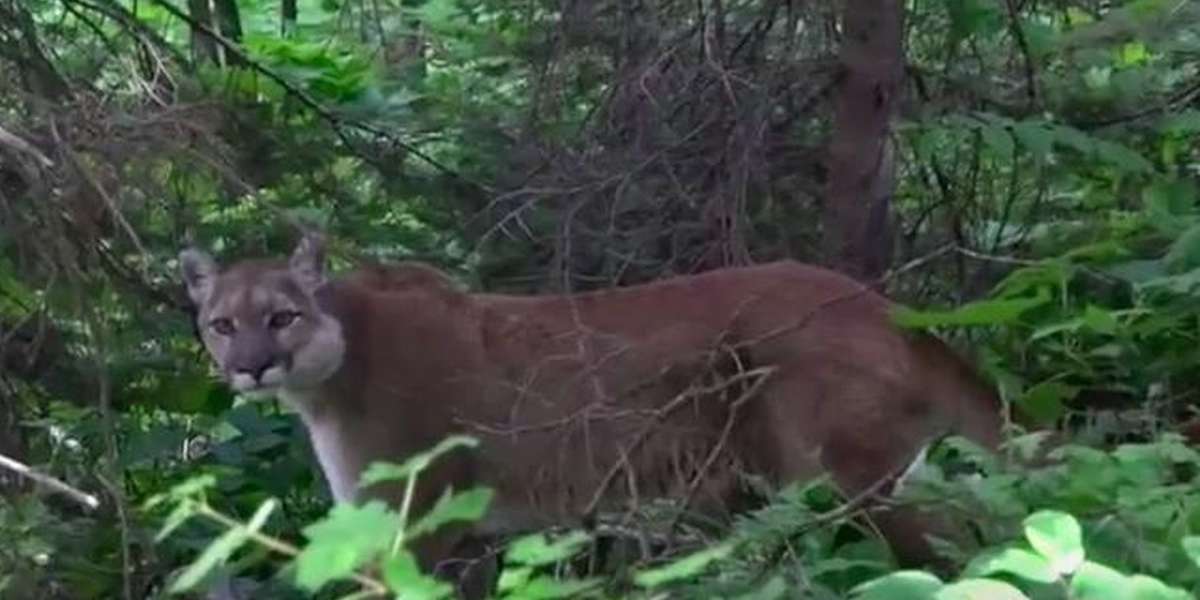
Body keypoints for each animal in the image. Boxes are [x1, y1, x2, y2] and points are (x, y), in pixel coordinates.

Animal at [177, 231, 1003, 592]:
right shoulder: (467, 538)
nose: (251, 365)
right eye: (222, 323)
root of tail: (880, 304)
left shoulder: (413, 524)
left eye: (281, 317)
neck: (339, 366)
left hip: (856, 477)